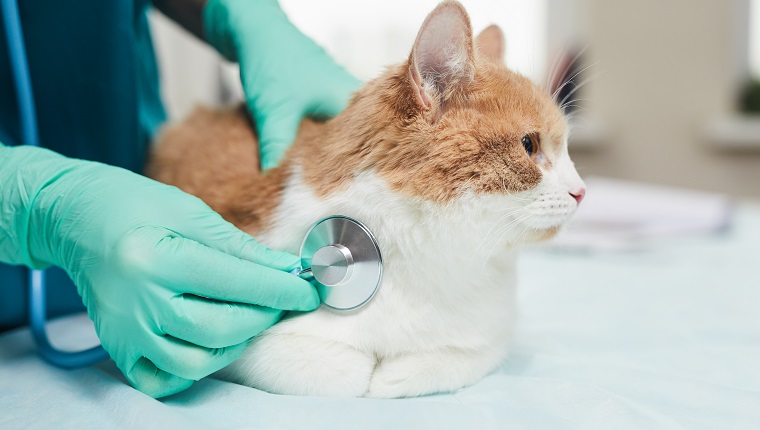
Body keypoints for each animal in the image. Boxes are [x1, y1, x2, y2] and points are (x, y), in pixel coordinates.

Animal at [148, 0, 588, 398]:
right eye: (529, 145)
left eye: (567, 148)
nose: (581, 191)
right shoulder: (242, 337)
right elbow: (340, 372)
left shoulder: (484, 338)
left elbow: (438, 365)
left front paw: (395, 373)